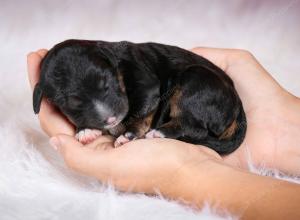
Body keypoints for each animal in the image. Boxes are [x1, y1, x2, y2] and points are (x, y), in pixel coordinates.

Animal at [33, 40, 246, 156]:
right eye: (73, 103)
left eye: (107, 84)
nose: (110, 119)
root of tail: (237, 106)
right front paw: (86, 130)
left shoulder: (147, 87)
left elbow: (139, 113)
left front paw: (128, 135)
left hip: (194, 78)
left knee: (195, 127)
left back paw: (159, 133)